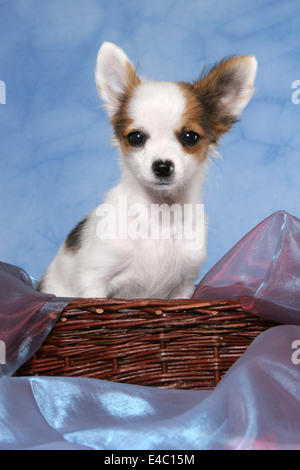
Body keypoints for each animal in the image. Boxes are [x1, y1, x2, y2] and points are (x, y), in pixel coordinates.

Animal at [37, 43, 256, 298]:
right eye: (136, 137)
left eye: (190, 137)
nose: (162, 166)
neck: (161, 214)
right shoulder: (94, 280)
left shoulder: (183, 289)